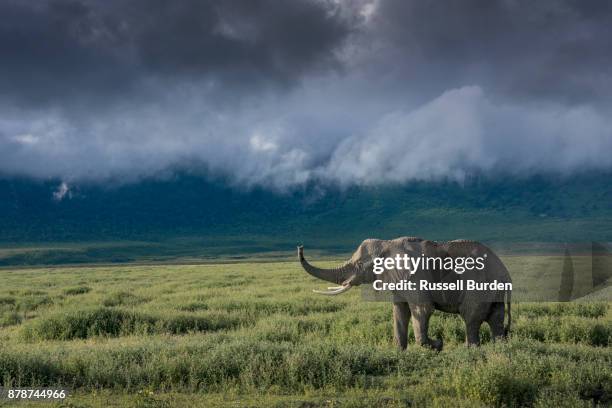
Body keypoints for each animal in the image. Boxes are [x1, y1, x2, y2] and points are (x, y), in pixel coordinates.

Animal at [296, 236, 512, 350]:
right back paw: (499, 348)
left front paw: (437, 344)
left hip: (479, 285)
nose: (300, 246)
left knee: (471, 316)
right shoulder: (397, 279)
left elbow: (422, 309)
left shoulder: (414, 276)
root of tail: (505, 272)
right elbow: (399, 311)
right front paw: (399, 351)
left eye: (359, 264)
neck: (387, 244)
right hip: (493, 290)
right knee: (496, 317)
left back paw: (470, 350)